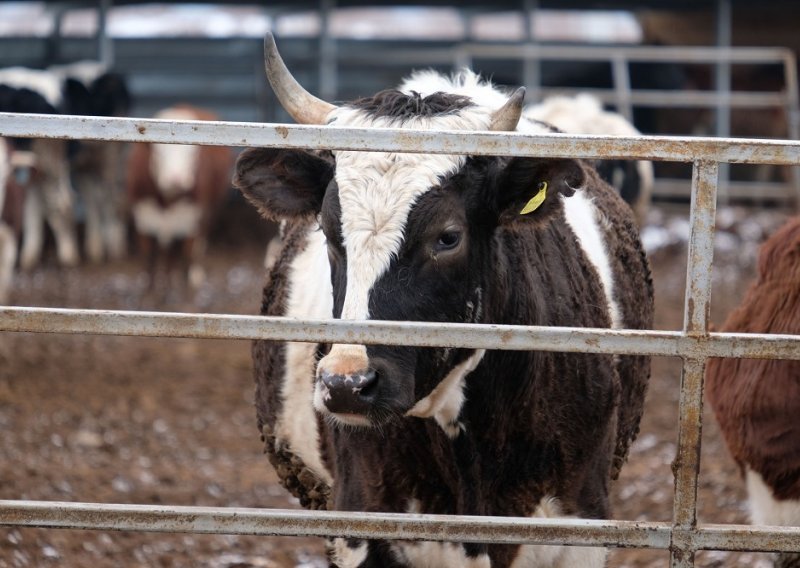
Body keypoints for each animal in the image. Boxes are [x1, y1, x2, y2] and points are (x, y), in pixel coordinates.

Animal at [127, 106, 234, 300]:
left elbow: (186, 257)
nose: (176, 179)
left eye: (193, 154)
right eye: (158, 153)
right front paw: (150, 294)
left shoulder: (190, 221)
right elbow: (149, 261)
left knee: (198, 246)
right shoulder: (143, 221)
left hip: (210, 211)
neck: (168, 200)